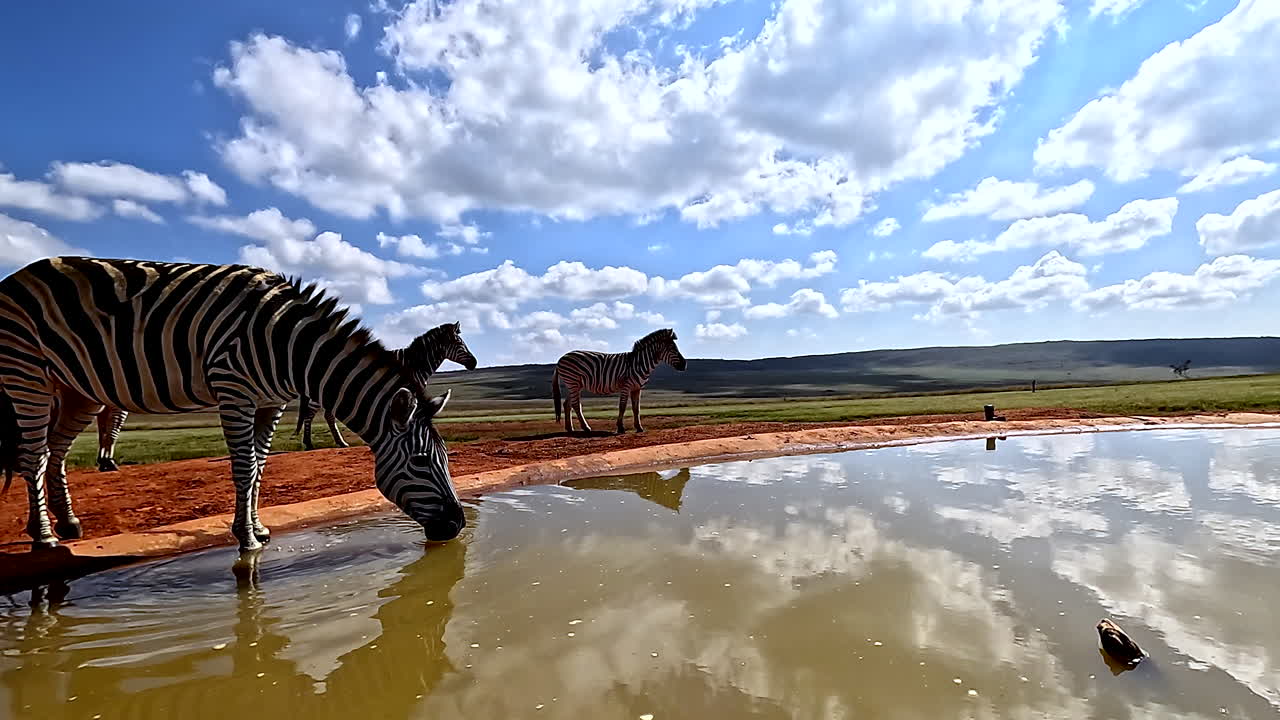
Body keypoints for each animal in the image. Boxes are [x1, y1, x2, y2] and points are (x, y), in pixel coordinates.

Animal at [292, 321, 478, 451]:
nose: (474, 363)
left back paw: (340, 442)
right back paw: (309, 444)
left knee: (327, 416)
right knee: (310, 414)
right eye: (460, 344)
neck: (412, 364)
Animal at [552, 328, 687, 435]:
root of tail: (560, 359)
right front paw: (621, 428)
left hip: (574, 385)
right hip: (573, 382)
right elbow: (622, 407)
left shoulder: (637, 388)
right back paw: (586, 428)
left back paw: (570, 429)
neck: (638, 363)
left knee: (567, 404)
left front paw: (639, 427)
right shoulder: (626, 386)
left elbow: (636, 409)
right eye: (672, 348)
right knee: (575, 405)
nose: (684, 365)